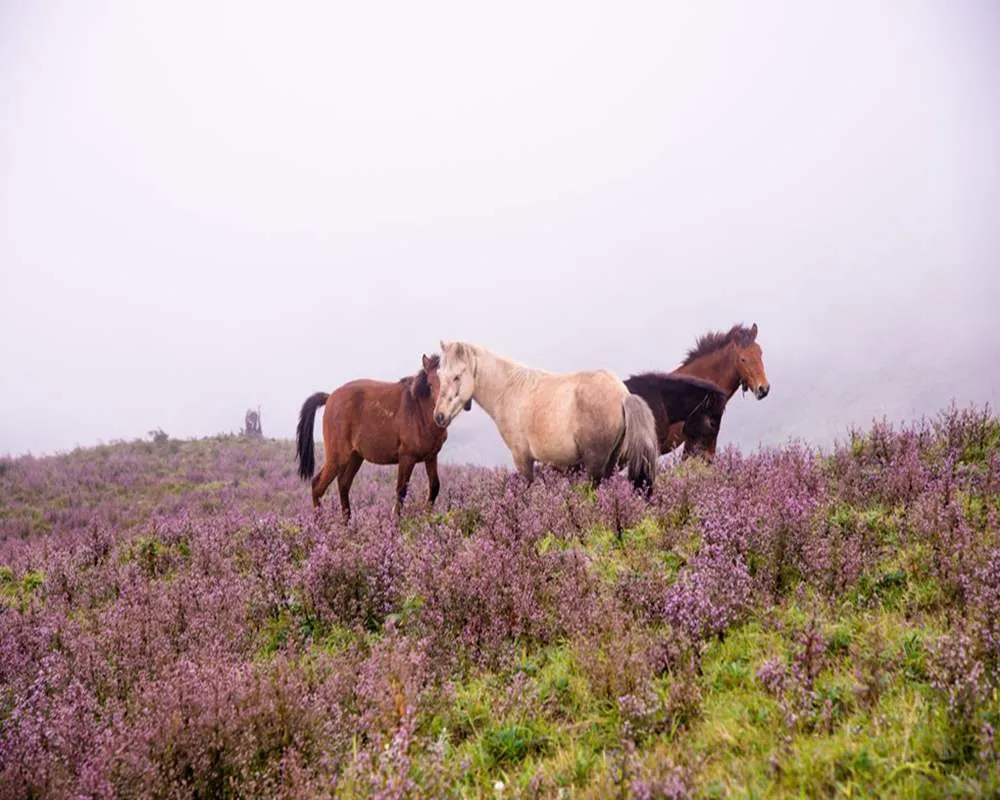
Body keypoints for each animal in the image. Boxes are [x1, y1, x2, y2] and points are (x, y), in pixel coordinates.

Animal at [292, 354, 464, 520]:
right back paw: (320, 524)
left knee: (343, 485)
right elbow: (401, 491)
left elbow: (434, 487)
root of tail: (329, 397)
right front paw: (397, 522)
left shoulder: (431, 457)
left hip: (355, 457)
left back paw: (347, 524)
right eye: (430, 384)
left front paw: (427, 518)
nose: (441, 416)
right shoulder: (407, 457)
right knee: (317, 486)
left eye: (455, 380)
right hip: (337, 457)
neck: (419, 411)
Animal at [432, 340, 660, 494]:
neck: (508, 390)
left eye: (457, 376)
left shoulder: (522, 458)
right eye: (440, 375)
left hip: (595, 463)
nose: (439, 416)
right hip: (609, 462)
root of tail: (623, 394)